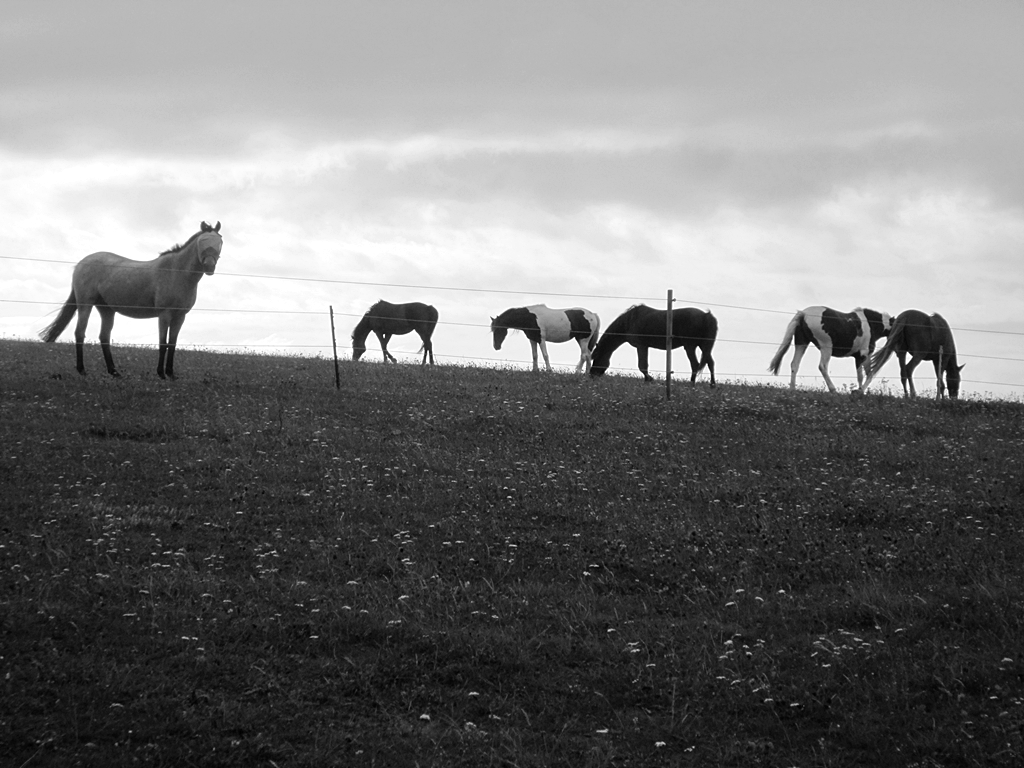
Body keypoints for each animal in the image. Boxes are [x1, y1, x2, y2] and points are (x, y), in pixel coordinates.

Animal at [39, 221, 223, 379]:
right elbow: (162, 343)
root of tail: (81, 264)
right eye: (203, 241)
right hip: (85, 304)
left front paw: (171, 374)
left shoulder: (180, 316)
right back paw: (82, 370)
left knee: (104, 337)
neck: (176, 272)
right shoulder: (164, 315)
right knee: (80, 333)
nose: (209, 267)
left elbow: (172, 344)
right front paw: (161, 373)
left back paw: (114, 372)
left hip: (106, 309)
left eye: (220, 241)